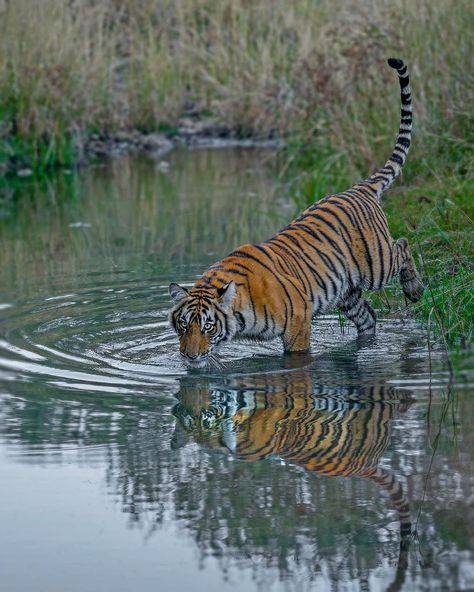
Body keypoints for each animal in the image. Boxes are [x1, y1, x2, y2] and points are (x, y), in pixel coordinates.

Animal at [169, 59, 422, 366]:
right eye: (183, 325)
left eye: (208, 326)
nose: (190, 356)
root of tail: (357, 188)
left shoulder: (298, 321)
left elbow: (296, 357)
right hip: (348, 293)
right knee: (369, 318)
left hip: (377, 264)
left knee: (403, 245)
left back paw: (414, 289)